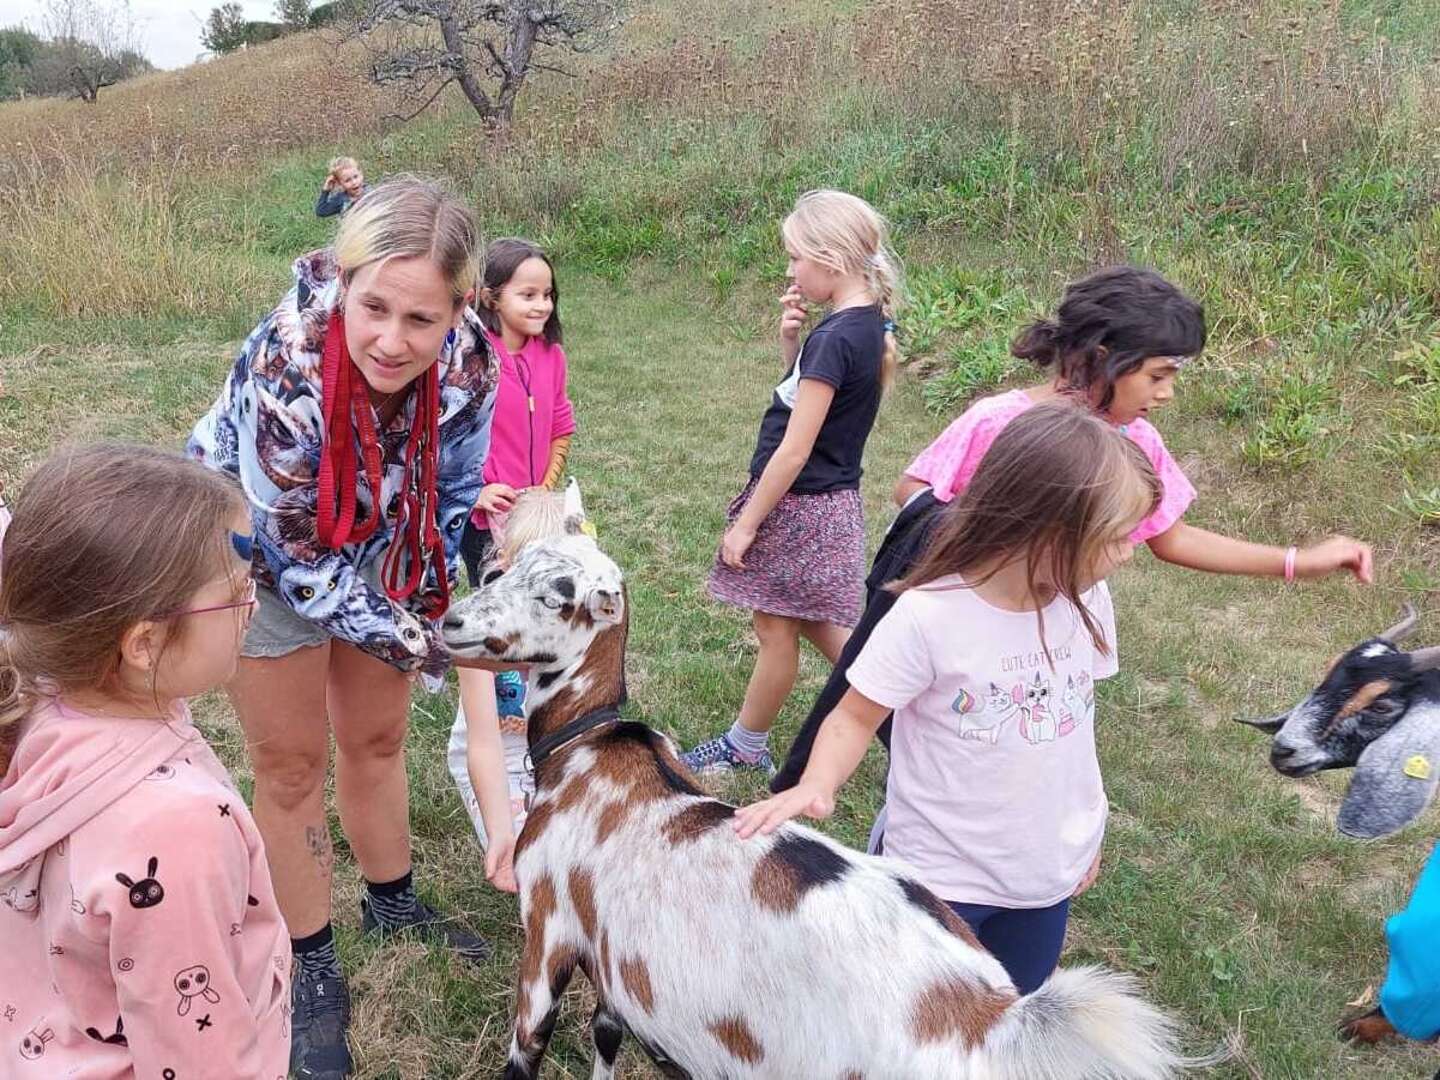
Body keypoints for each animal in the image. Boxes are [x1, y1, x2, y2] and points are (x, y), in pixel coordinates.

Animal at [446, 538, 1192, 1077]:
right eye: (500, 567)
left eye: (556, 596)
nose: (450, 621)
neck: (586, 748)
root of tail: (987, 1019)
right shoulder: (617, 962)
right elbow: (607, 1035)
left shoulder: (549, 931)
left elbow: (525, 1054)